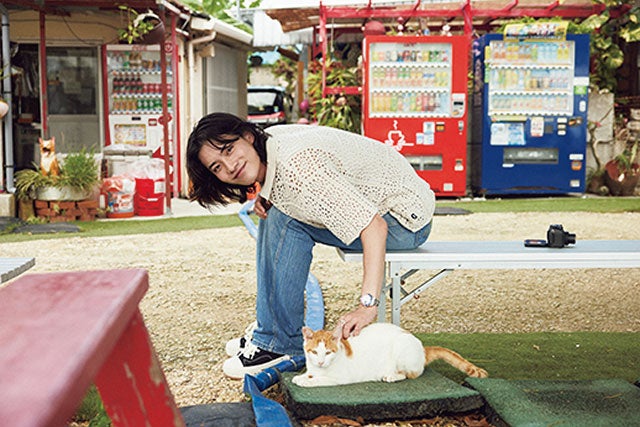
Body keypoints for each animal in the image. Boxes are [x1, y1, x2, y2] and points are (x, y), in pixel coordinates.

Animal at [292, 323, 488, 387]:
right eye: (314, 352)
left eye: (328, 352)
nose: (321, 362)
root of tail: (422, 347)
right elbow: (310, 373)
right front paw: (302, 376)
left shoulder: (339, 378)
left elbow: (319, 380)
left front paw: (306, 381)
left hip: (402, 349)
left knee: (411, 374)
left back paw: (391, 376)